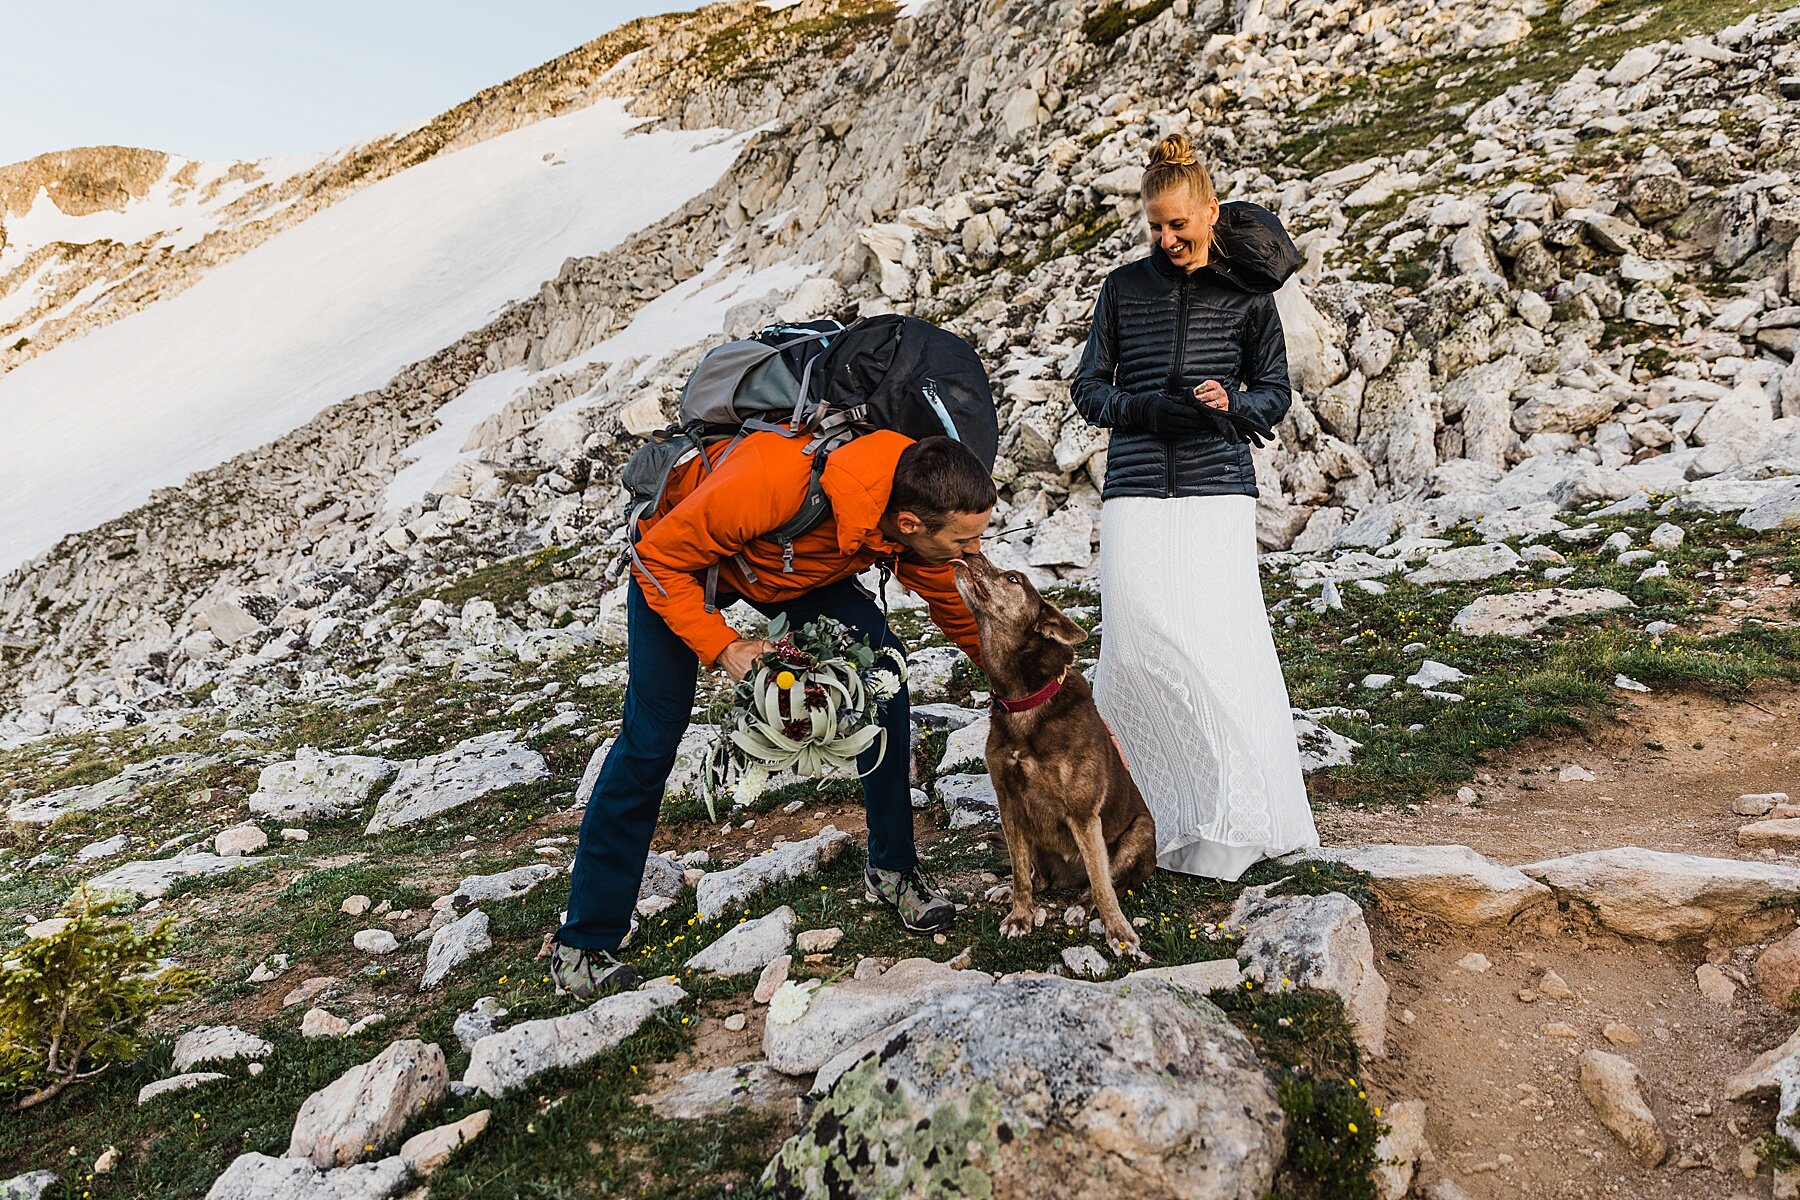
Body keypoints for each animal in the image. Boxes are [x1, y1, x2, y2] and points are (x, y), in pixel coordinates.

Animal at [950, 554, 1159, 957]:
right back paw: (1011, 891)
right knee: (1038, 877)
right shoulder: (1009, 804)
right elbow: (1020, 872)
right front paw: (1020, 916)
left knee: (1102, 882)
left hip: (1141, 830)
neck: (1023, 700)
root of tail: (1066, 878)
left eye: (1013, 579)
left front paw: (1118, 932)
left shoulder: (1083, 813)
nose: (970, 554)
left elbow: (1102, 883)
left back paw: (1080, 906)